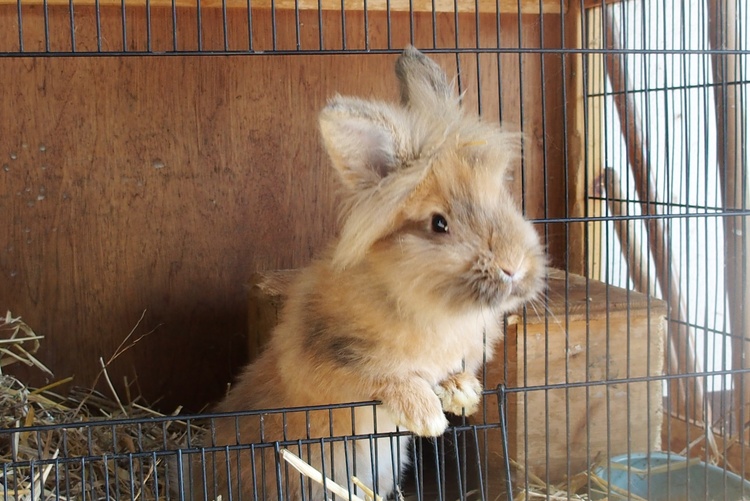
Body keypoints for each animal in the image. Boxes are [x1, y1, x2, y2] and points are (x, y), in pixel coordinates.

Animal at [178, 45, 546, 501]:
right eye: (439, 224)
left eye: (502, 196)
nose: (515, 267)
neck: (434, 307)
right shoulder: (329, 361)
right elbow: (380, 376)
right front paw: (427, 416)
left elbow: (452, 373)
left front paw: (463, 394)